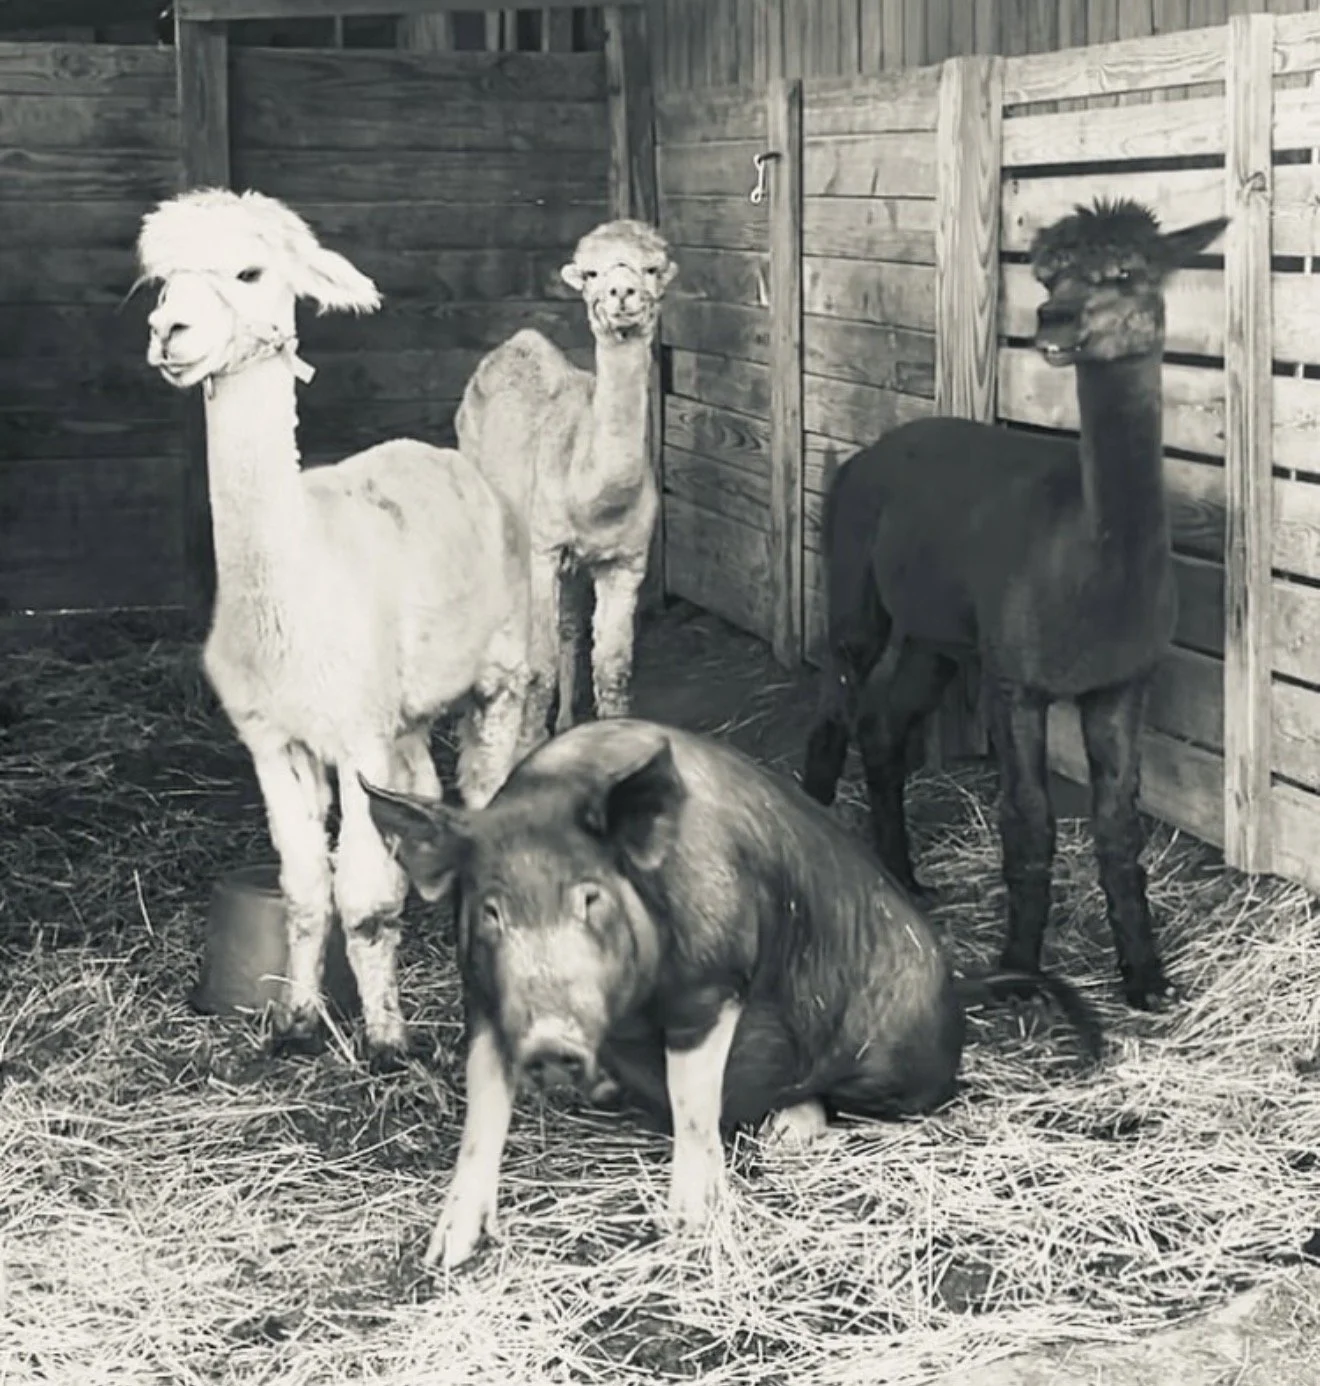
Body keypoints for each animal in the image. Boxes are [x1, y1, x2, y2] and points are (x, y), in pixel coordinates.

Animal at [361, 717, 1102, 1272]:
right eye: (491, 911)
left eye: (590, 898)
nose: (550, 1042)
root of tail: (958, 984)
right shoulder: (488, 1002)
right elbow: (481, 1118)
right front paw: (444, 1254)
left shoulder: (711, 981)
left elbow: (694, 1103)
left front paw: (689, 1227)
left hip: (897, 1063)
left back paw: (784, 1133)